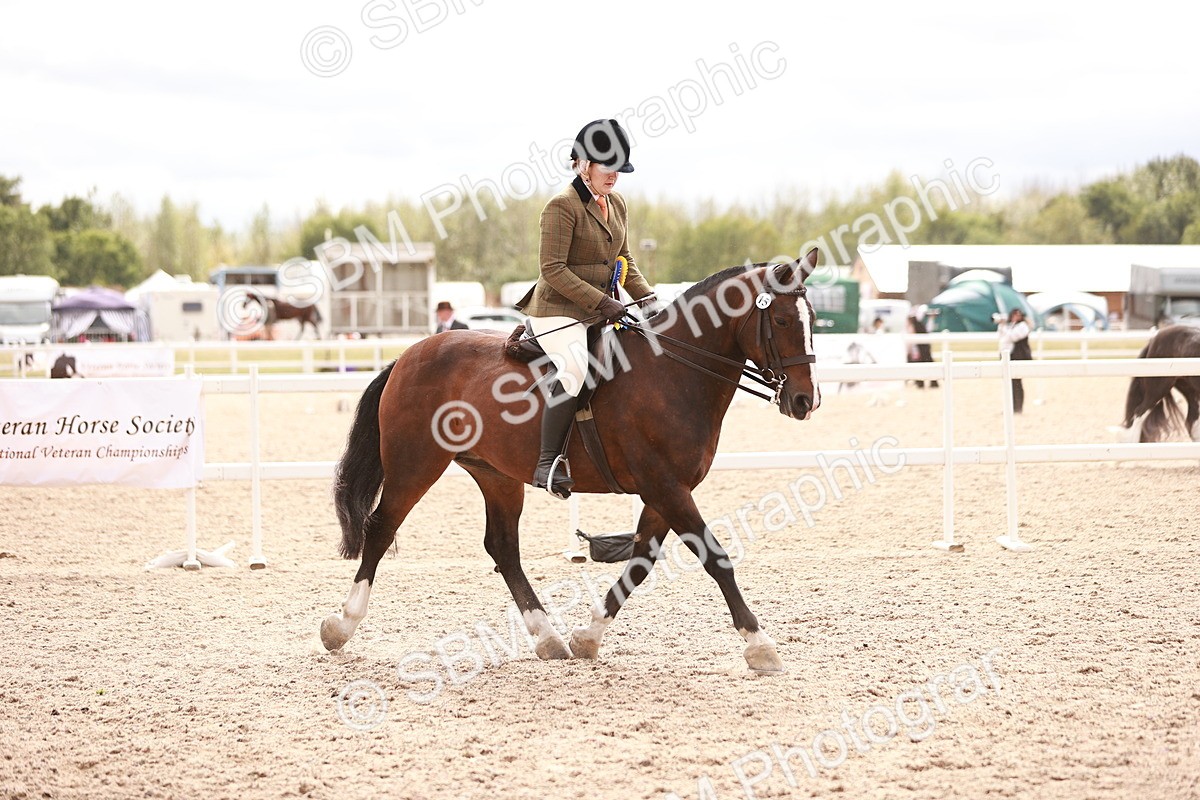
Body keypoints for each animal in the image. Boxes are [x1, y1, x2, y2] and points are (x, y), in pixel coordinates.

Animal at [319, 249, 822, 673]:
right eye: (780, 319)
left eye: (813, 319)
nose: (804, 401)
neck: (672, 373)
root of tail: (409, 354)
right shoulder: (665, 486)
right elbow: (716, 559)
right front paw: (760, 645)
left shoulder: (666, 492)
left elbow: (640, 561)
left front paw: (588, 637)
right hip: (416, 465)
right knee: (381, 529)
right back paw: (341, 626)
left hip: (496, 475)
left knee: (503, 548)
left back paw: (548, 638)